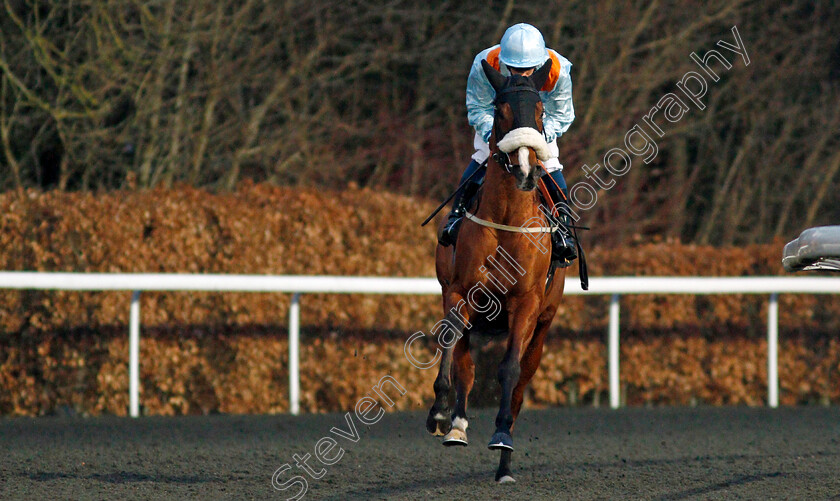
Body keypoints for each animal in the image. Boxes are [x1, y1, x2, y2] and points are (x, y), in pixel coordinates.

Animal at [430, 57, 568, 480]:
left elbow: (508, 370)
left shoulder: (526, 303)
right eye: (500, 109)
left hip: (543, 323)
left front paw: (502, 436)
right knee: (466, 363)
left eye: (540, 111)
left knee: (521, 383)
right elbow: (452, 349)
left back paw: (505, 461)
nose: (525, 169)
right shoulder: (459, 291)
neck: (507, 216)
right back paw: (457, 425)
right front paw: (441, 412)